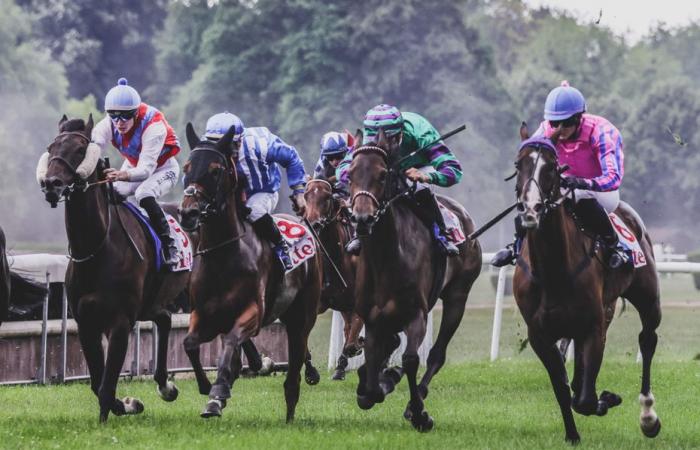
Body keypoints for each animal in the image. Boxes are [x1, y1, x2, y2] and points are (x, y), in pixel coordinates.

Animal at [40, 116, 189, 422]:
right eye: (51, 147)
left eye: (80, 149)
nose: (51, 184)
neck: (97, 248)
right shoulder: (86, 322)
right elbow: (97, 382)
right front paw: (128, 404)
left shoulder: (120, 322)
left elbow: (107, 383)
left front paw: (113, 413)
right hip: (154, 301)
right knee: (165, 319)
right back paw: (165, 385)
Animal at [180, 124, 322, 422]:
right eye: (187, 166)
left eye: (215, 169)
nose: (188, 213)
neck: (224, 254)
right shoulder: (202, 313)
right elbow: (190, 344)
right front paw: (208, 388)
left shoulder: (253, 313)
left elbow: (232, 341)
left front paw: (217, 392)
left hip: (302, 317)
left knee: (294, 371)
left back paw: (290, 411)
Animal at [304, 179, 364, 380]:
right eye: (306, 195)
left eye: (327, 197)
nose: (313, 223)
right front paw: (311, 372)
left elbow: (353, 343)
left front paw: (358, 345)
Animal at [348, 129, 482, 428]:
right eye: (349, 173)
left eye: (382, 174)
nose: (362, 219)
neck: (387, 257)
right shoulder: (372, 318)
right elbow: (372, 372)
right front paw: (379, 383)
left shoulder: (415, 314)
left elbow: (410, 360)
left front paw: (419, 412)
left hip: (458, 296)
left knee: (437, 354)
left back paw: (415, 397)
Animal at [516, 125, 660, 442]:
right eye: (519, 165)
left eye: (552, 167)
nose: (531, 209)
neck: (553, 270)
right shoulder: (539, 335)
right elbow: (562, 388)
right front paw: (572, 435)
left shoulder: (592, 327)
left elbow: (585, 400)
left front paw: (607, 399)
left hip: (647, 297)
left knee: (647, 339)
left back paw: (648, 416)